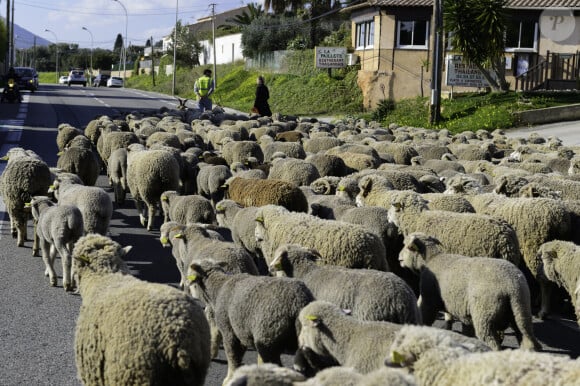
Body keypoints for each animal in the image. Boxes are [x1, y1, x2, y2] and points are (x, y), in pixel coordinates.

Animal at [398, 231, 540, 352]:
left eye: (406, 246)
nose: (399, 258)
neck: (432, 259)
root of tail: (512, 286)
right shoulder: (463, 309)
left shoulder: (429, 297)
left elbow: (425, 314)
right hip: (520, 310)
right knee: (526, 337)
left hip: (484, 313)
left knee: (491, 341)